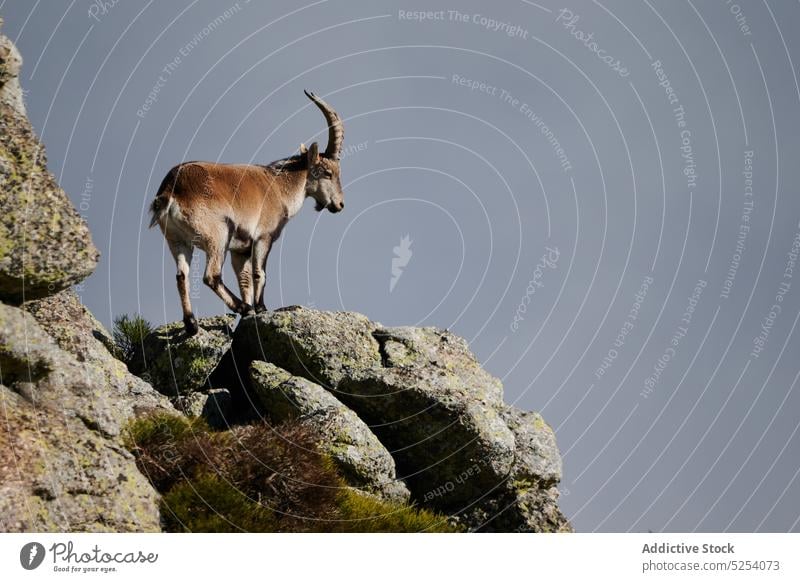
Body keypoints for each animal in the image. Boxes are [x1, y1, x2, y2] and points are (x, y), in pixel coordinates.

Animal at [150, 91, 344, 338]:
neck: (279, 187)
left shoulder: (239, 249)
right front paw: (260, 308)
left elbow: (244, 279)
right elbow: (259, 273)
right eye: (328, 172)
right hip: (217, 236)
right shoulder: (263, 237)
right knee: (211, 275)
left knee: (181, 276)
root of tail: (171, 189)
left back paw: (192, 324)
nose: (339, 204)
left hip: (177, 241)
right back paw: (243, 307)